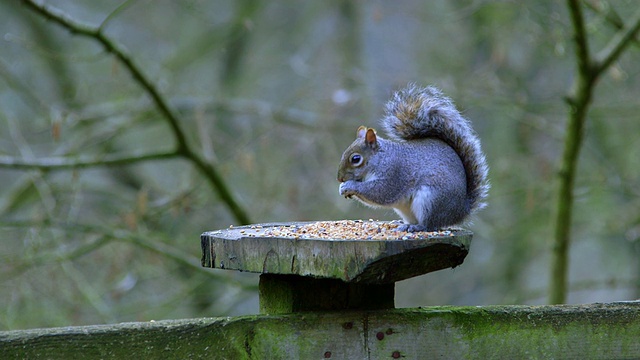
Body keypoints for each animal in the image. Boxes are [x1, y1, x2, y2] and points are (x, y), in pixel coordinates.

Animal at [338, 84, 488, 231]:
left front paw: (350, 185)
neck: (381, 159)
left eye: (355, 159)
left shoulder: (394, 173)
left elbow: (380, 192)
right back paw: (404, 224)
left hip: (430, 200)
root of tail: (461, 211)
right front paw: (343, 188)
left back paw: (417, 227)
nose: (340, 178)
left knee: (430, 225)